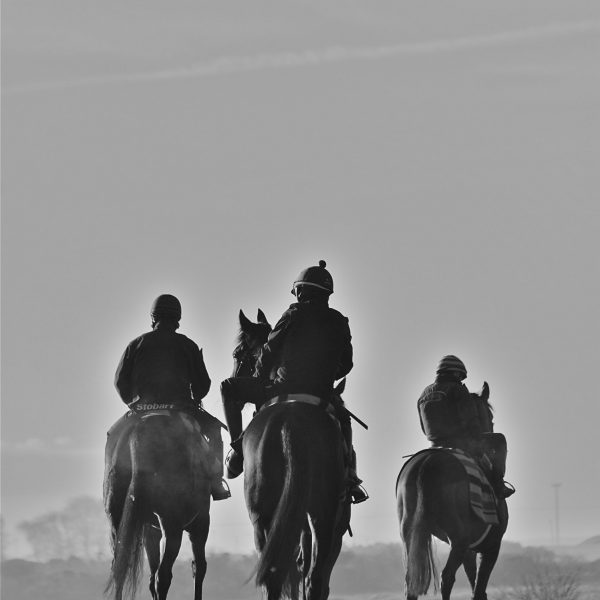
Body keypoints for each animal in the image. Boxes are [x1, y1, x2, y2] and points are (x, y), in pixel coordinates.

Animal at [103, 408, 213, 600]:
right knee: (163, 575)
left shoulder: (150, 530)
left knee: (120, 569)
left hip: (117, 520)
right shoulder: (200, 523)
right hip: (173, 526)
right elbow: (199, 567)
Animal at [232, 310, 352, 600]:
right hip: (318, 514)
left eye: (238, 354)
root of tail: (290, 423)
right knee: (310, 576)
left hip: (265, 517)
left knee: (286, 575)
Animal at [396, 384, 508, 600]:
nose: (490, 427)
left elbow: (476, 584)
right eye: (489, 416)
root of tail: (425, 464)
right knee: (446, 577)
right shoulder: (491, 546)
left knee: (410, 583)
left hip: (410, 534)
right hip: (458, 540)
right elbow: (479, 588)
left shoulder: (470, 551)